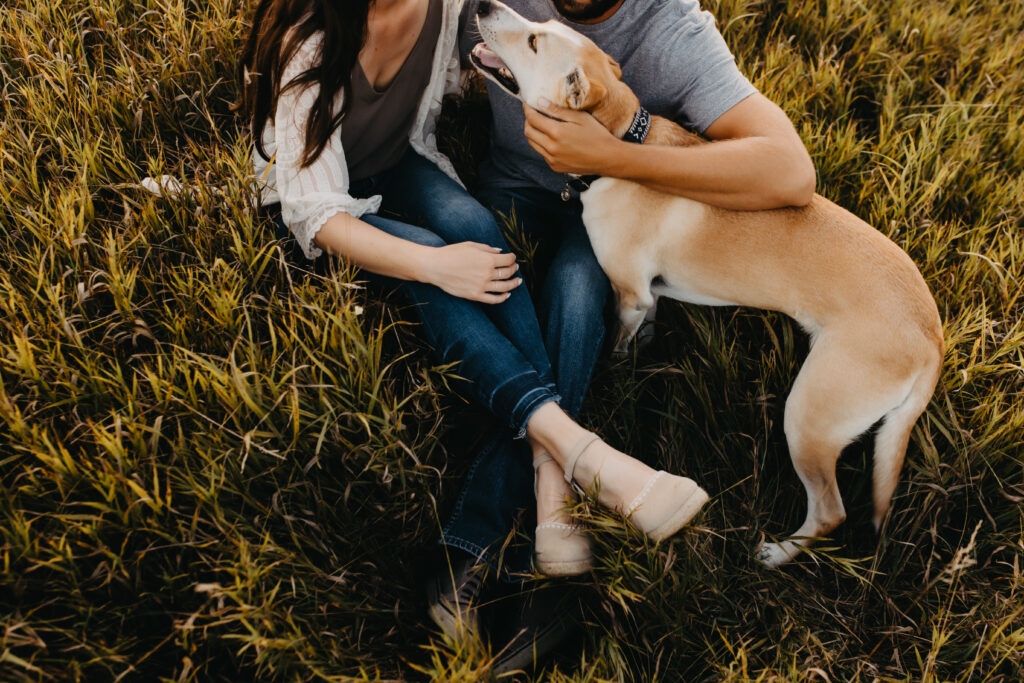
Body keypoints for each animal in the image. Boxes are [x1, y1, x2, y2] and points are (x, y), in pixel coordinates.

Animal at [471, 0, 942, 565]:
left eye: (535, 42)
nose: (483, 6)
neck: (621, 140)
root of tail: (932, 335)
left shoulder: (627, 295)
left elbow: (617, 349)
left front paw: (616, 376)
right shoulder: (647, 296)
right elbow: (646, 332)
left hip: (809, 418)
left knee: (830, 511)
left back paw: (778, 553)